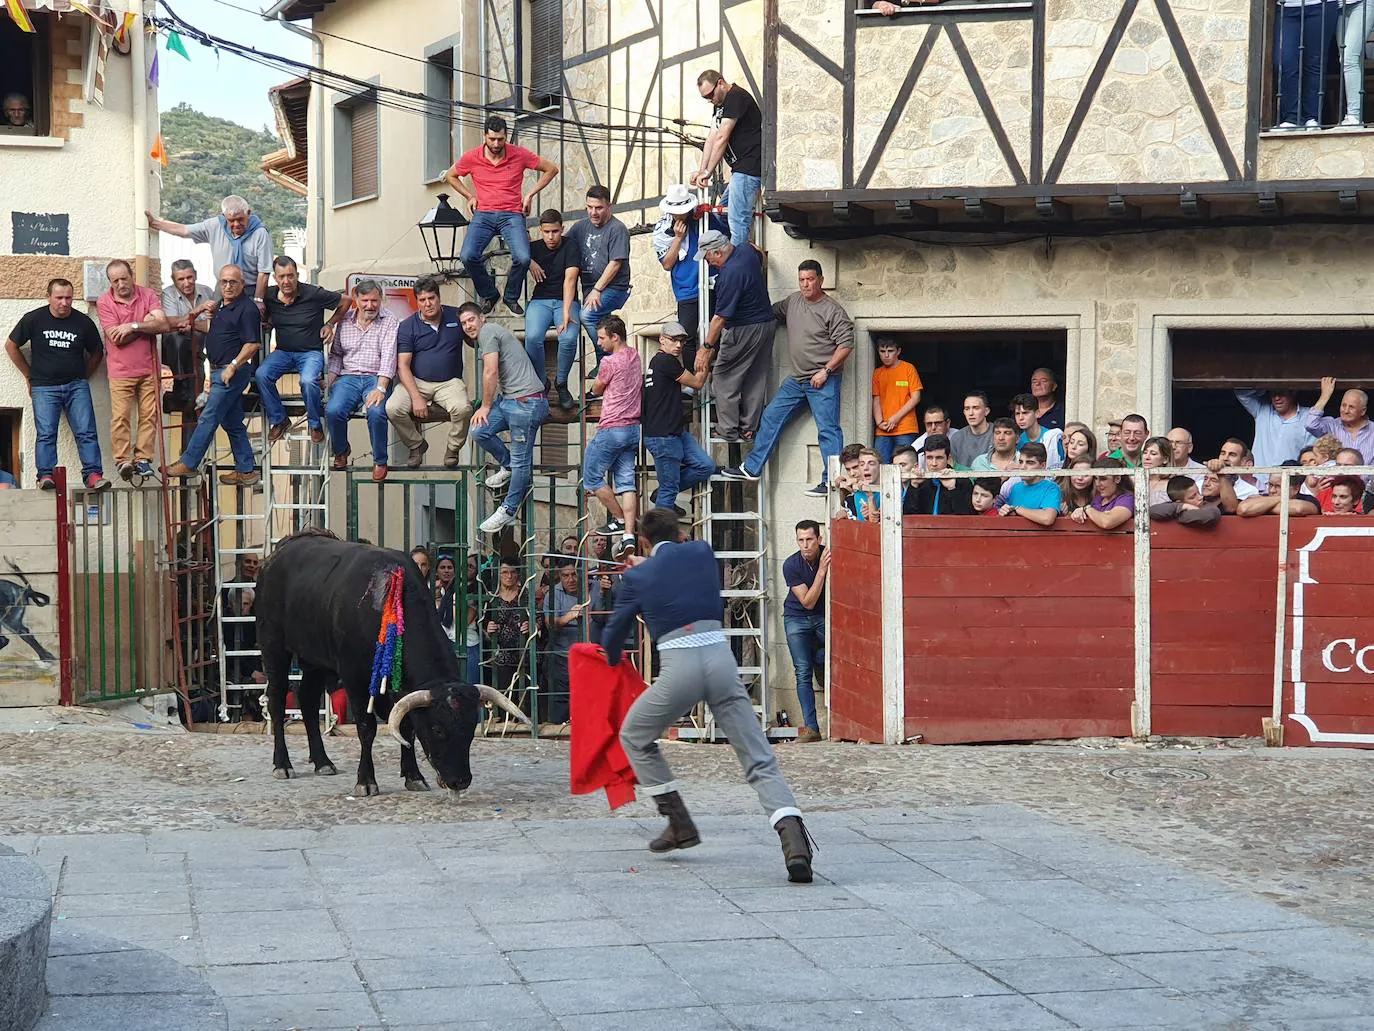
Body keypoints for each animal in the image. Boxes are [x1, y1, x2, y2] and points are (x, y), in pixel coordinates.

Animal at [255, 533, 527, 797]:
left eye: (471, 727)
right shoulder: (354, 677)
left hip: (314, 659)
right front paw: (366, 781)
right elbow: (367, 727)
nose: (460, 781)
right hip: (273, 646)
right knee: (277, 700)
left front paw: (414, 776)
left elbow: (406, 728)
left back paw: (323, 762)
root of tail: (278, 553)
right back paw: (282, 765)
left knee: (308, 701)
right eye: (437, 729)